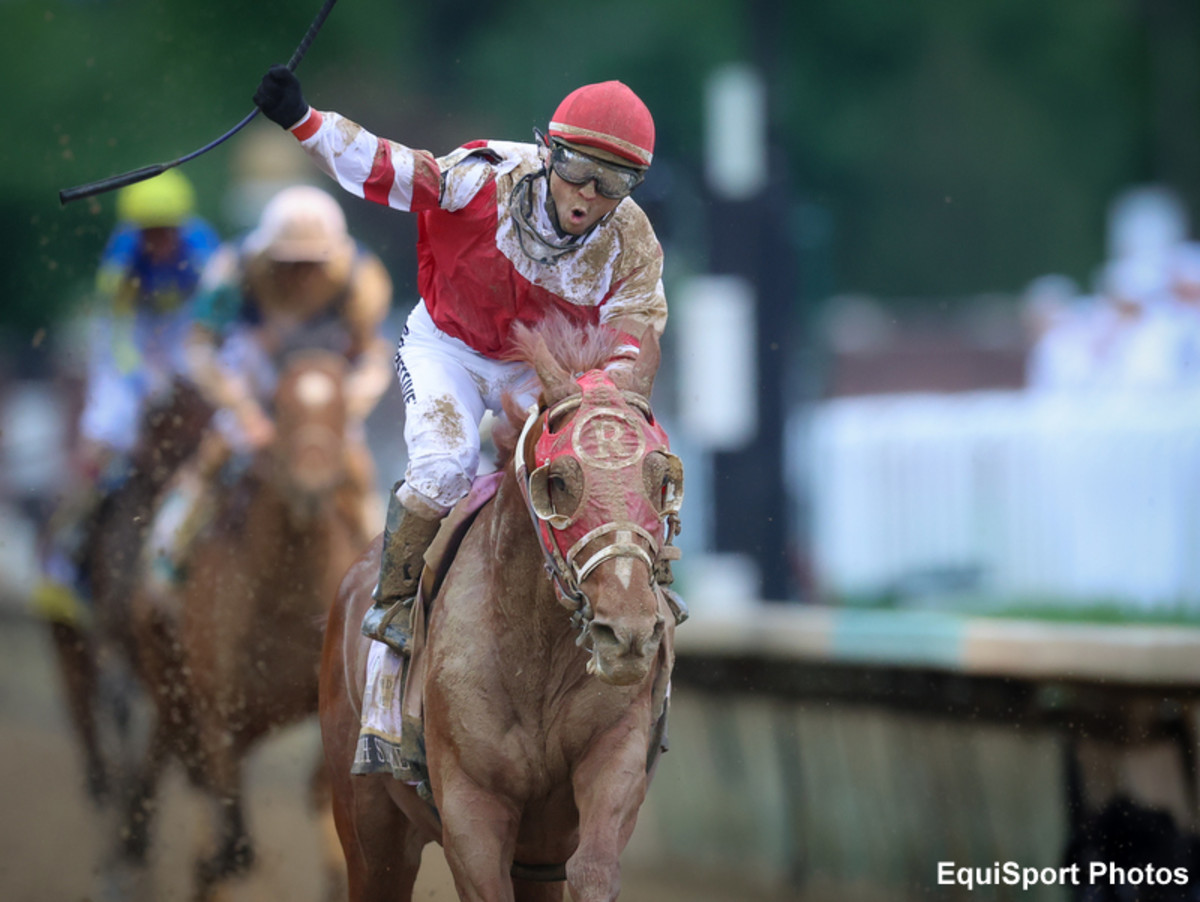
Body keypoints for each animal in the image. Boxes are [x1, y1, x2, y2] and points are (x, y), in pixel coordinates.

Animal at [121, 350, 367, 902]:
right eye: (279, 405)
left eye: (343, 408)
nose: (312, 484)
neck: (284, 596)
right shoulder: (218, 715)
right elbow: (236, 844)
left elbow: (323, 797)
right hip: (170, 687)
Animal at [316, 319, 686, 902]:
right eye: (558, 480)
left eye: (661, 479)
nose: (627, 632)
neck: (535, 656)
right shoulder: (472, 809)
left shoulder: (613, 755)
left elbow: (593, 869)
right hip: (368, 824)